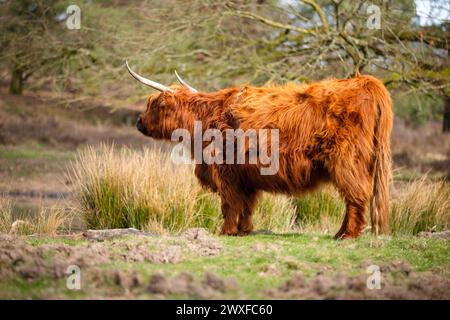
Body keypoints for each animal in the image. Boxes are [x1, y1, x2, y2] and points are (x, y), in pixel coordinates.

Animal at [125, 61, 390, 239]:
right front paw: (244, 230)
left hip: (347, 160)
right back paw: (340, 233)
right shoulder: (245, 176)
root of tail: (365, 82)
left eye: (154, 104)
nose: (138, 122)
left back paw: (348, 235)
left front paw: (226, 231)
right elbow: (247, 205)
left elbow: (229, 204)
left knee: (356, 195)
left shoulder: (225, 171)